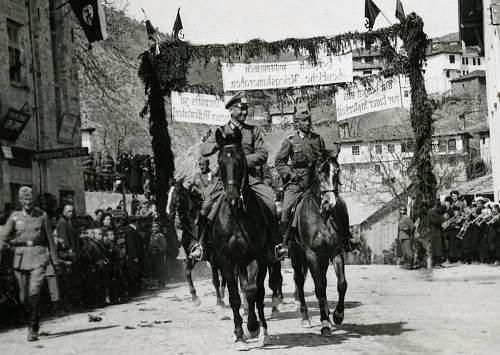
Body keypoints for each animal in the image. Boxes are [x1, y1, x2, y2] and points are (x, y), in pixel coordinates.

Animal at [172, 179, 227, 308]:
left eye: (180, 196)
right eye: (170, 196)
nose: (178, 224)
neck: (194, 227)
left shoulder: (213, 258)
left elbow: (215, 280)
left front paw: (219, 301)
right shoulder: (191, 255)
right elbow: (187, 273)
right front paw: (194, 298)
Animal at [211, 128, 274, 350]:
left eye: (240, 160)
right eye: (220, 162)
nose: (232, 198)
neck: (237, 216)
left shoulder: (256, 257)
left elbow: (252, 292)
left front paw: (253, 326)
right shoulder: (225, 260)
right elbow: (235, 297)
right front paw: (239, 334)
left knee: (259, 293)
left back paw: (262, 331)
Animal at [292, 150, 350, 336]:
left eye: (336, 172)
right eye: (319, 172)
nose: (329, 202)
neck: (322, 217)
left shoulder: (335, 252)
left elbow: (341, 284)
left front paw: (337, 315)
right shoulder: (311, 254)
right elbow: (318, 287)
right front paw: (324, 322)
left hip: (323, 258)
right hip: (296, 254)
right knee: (299, 280)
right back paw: (305, 317)